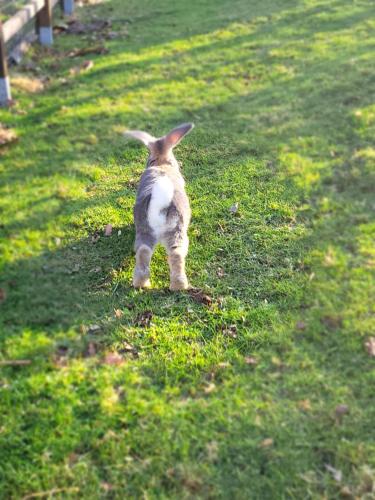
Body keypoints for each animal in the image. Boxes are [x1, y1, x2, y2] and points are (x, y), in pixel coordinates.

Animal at [126, 122, 195, 292]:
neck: (161, 163)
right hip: (177, 231)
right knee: (176, 254)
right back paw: (179, 287)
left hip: (144, 229)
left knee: (143, 251)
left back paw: (142, 284)